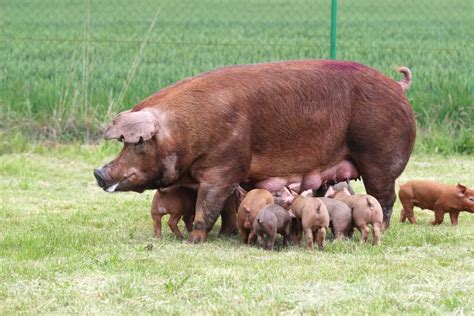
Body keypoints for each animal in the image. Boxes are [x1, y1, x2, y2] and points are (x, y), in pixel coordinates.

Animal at [92, 59, 414, 243]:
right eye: (124, 142)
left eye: (138, 142)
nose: (98, 172)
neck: (184, 131)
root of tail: (397, 86)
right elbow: (226, 208)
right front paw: (225, 235)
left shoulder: (222, 167)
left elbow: (207, 207)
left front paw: (194, 240)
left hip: (380, 158)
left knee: (385, 198)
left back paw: (385, 230)